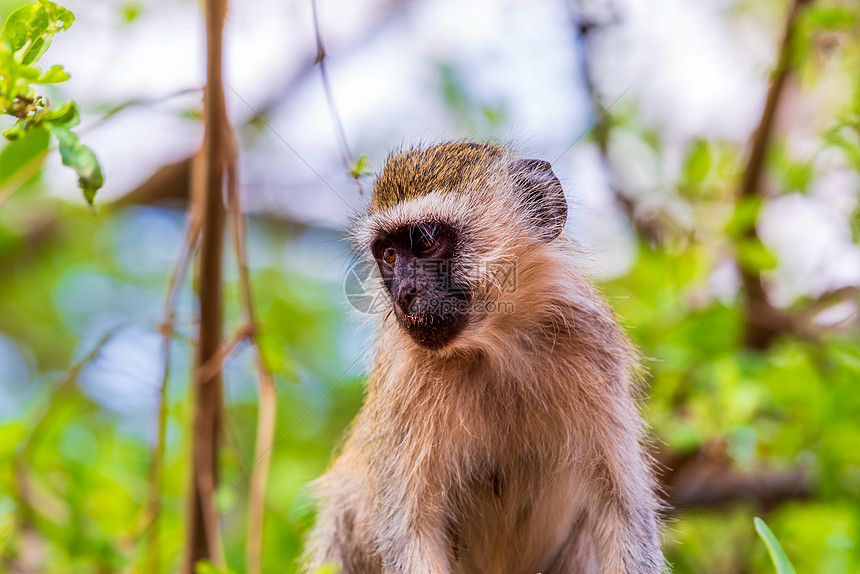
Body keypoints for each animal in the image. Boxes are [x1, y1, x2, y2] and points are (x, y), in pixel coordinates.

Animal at [302, 143, 664, 574]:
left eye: (424, 241)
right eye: (389, 253)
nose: (404, 294)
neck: (493, 347)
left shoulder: (592, 345)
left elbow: (622, 513)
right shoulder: (403, 380)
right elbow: (411, 533)